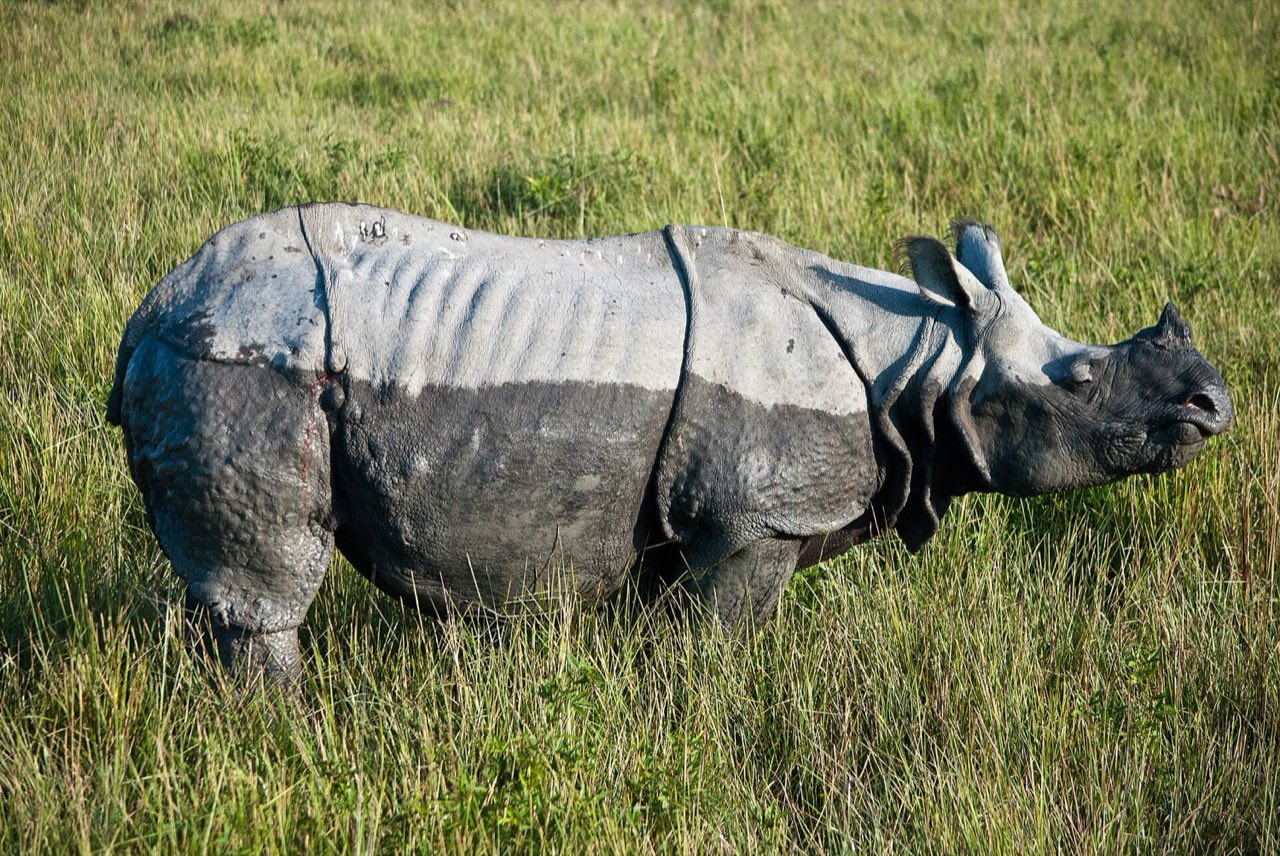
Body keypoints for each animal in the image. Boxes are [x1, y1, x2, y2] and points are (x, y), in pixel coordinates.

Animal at [107, 203, 1232, 683]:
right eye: (1076, 383)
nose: (1211, 403)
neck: (920, 357)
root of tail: (145, 312)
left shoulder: (684, 520)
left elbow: (666, 621)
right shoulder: (754, 518)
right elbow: (717, 646)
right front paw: (707, 719)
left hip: (224, 351)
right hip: (241, 365)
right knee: (265, 586)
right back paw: (290, 728)